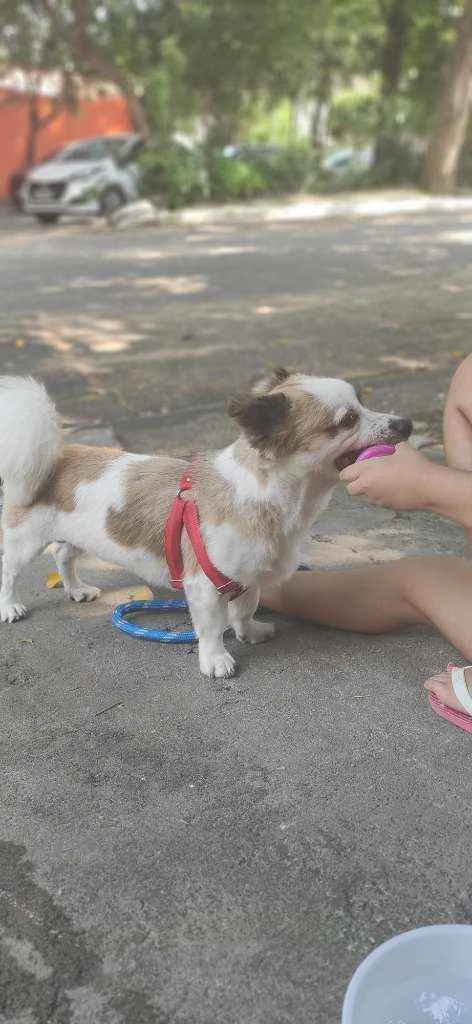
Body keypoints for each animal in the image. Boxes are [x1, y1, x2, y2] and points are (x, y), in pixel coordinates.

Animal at [0, 372, 409, 675]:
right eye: (348, 420)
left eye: (363, 402)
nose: (405, 423)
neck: (271, 497)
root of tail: (58, 455)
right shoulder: (204, 583)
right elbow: (212, 626)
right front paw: (216, 659)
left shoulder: (247, 578)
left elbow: (244, 609)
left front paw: (248, 632)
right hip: (24, 541)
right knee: (9, 572)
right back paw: (10, 606)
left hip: (76, 536)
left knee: (62, 555)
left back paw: (75, 589)